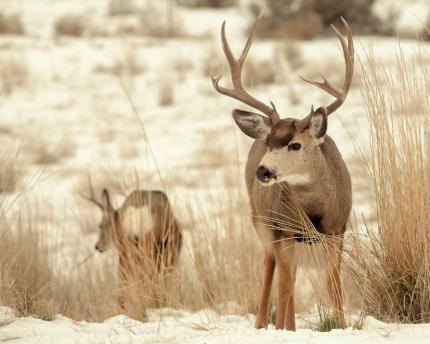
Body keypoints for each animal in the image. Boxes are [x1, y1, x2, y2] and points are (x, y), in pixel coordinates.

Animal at [82, 177, 181, 306]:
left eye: (100, 225)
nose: (98, 246)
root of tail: (136, 212)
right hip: (149, 246)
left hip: (127, 250)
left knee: (123, 283)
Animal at [211, 16, 352, 330]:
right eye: (269, 143)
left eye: (295, 144)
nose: (263, 171)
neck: (315, 211)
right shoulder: (282, 228)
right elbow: (284, 285)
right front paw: (281, 330)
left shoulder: (338, 229)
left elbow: (334, 283)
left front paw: (341, 324)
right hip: (261, 221)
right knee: (271, 269)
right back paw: (264, 323)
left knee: (292, 275)